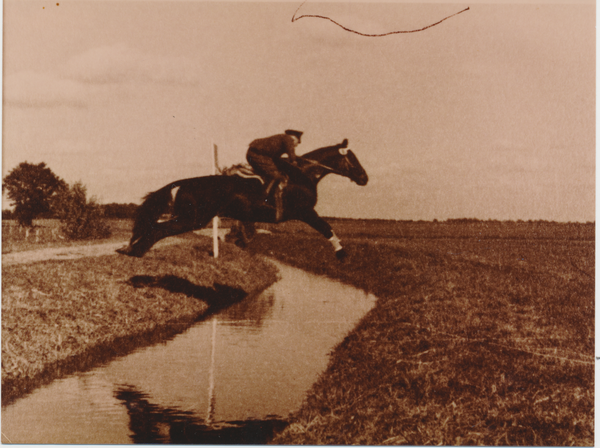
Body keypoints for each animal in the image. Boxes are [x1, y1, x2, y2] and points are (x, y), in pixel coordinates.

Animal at [112, 139, 366, 260]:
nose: (365, 178)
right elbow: (326, 227)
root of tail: (183, 183)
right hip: (191, 219)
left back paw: (130, 248)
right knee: (157, 229)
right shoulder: (305, 212)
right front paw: (341, 253)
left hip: (189, 218)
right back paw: (135, 251)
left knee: (153, 226)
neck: (302, 174)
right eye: (352, 159)